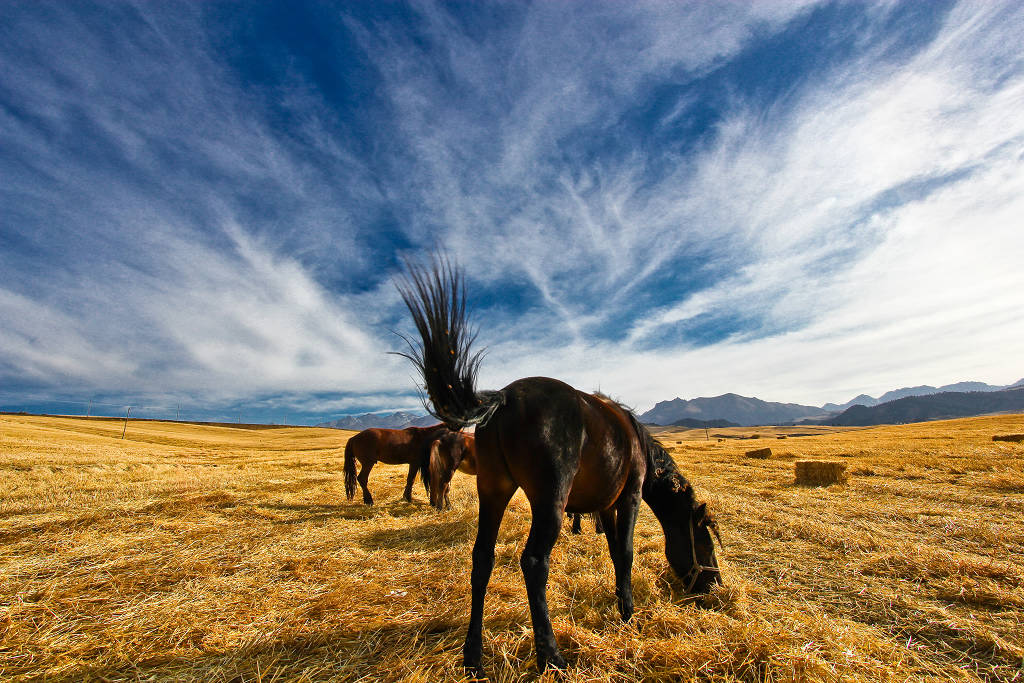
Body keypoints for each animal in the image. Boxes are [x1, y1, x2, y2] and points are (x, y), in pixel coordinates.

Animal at [395, 258, 724, 679]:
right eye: (705, 541)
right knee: (534, 563)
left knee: (482, 559)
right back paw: (551, 656)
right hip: (548, 503)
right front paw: (629, 613)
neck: (635, 443)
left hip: (494, 492)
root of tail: (504, 398)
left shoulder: (605, 506)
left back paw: (474, 657)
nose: (714, 588)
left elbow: (614, 551)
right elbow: (627, 551)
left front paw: (621, 603)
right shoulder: (630, 497)